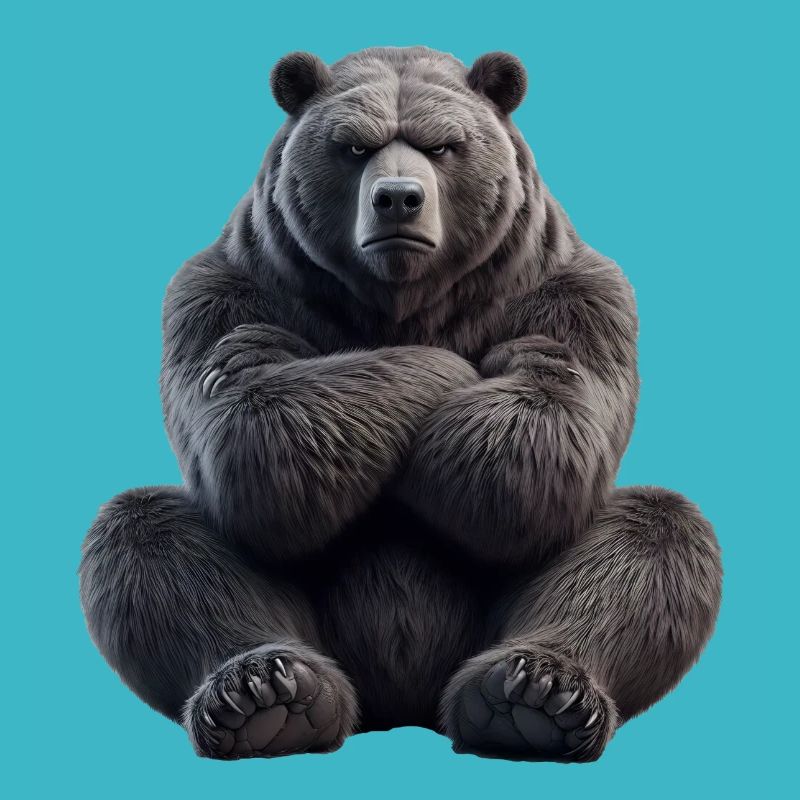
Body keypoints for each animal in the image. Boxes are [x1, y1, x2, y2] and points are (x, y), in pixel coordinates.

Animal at [79, 46, 722, 762]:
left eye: (441, 145)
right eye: (354, 146)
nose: (397, 199)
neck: (404, 301)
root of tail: (400, 706)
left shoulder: (574, 295)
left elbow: (538, 447)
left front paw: (494, 367)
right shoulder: (226, 292)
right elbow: (253, 436)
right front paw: (415, 365)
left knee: (652, 535)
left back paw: (532, 696)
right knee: (149, 536)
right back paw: (266, 695)